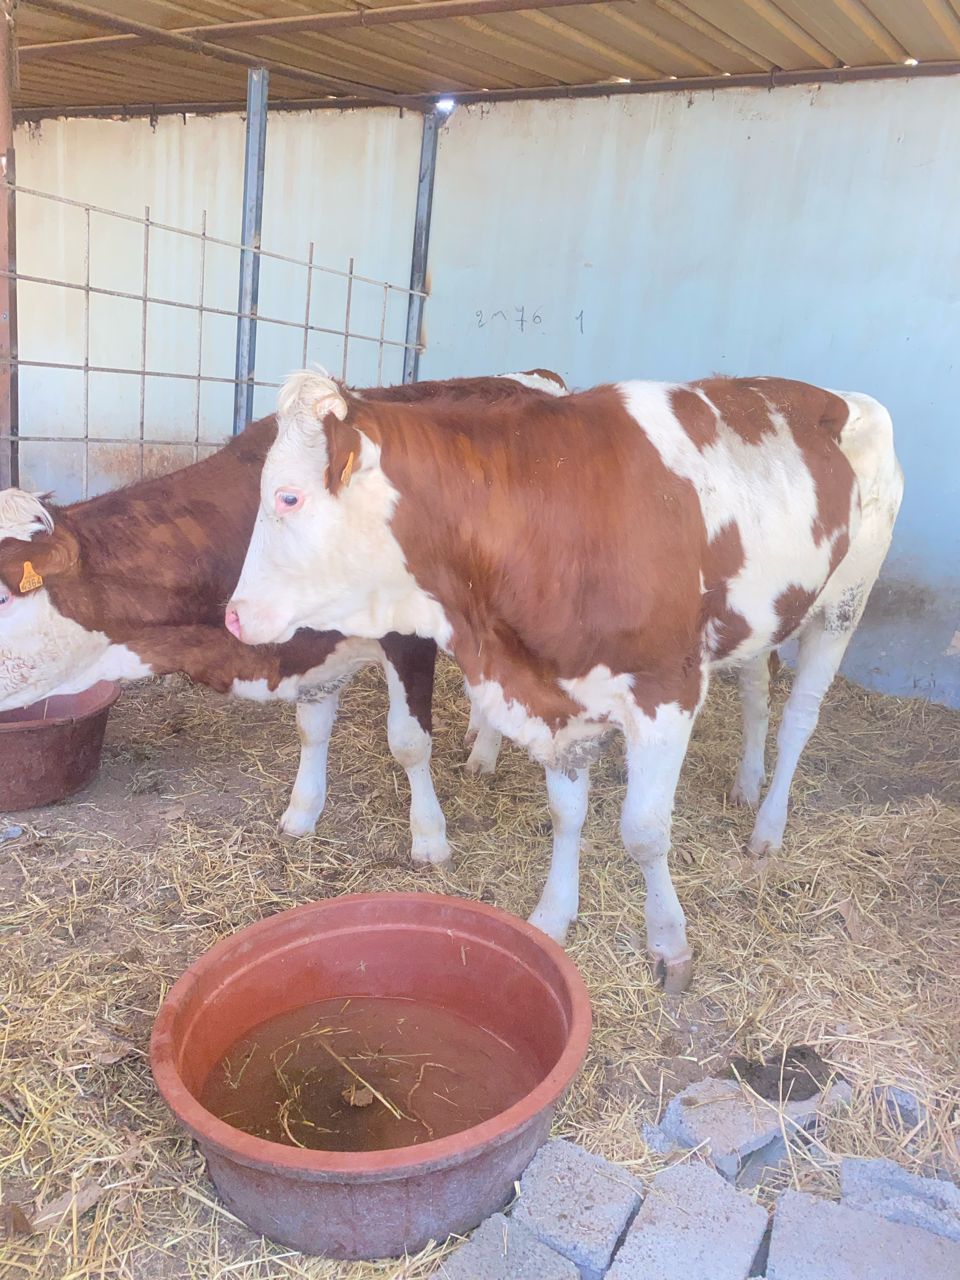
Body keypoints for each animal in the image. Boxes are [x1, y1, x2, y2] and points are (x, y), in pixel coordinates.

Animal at [229, 371, 906, 988]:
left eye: (288, 497)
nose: (234, 615)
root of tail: (840, 395)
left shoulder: (668, 690)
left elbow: (644, 832)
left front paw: (669, 942)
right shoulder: (552, 695)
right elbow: (566, 814)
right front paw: (553, 917)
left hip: (843, 605)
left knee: (800, 719)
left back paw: (768, 826)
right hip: (762, 618)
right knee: (758, 692)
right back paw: (746, 784)